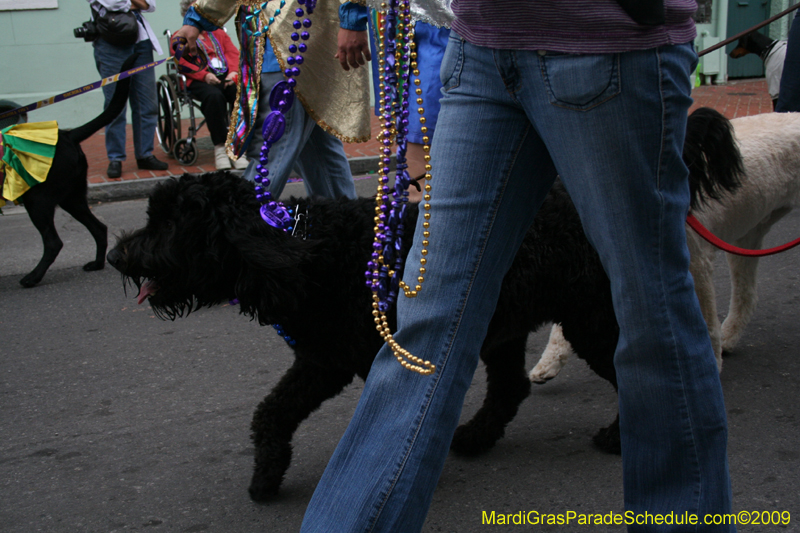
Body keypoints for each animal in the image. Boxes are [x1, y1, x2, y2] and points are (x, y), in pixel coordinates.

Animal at [10, 54, 136, 286]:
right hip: (71, 197)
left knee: (53, 243)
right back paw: (97, 264)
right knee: (99, 228)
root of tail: (68, 135)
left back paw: (33, 277)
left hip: (38, 200)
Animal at [106, 107, 744, 498]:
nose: (116, 255)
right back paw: (477, 437)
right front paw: (267, 475)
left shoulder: (348, 359)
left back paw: (623, 436)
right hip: (507, 325)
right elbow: (272, 412)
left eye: (168, 222)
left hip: (587, 318)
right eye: (152, 214)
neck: (305, 249)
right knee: (510, 388)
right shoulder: (323, 359)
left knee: (632, 367)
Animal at [532, 110, 800, 380]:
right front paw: (548, 362)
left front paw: (710, 364)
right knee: (747, 294)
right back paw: (729, 338)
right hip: (747, 238)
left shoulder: (694, 268)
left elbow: (705, 324)